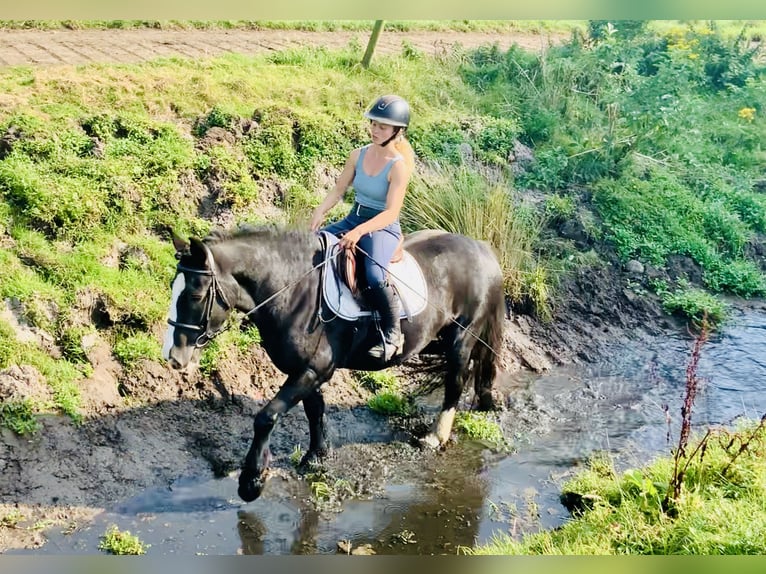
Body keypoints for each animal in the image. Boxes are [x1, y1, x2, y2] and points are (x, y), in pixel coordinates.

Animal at [164, 225, 510, 504]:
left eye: (194, 294)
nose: (175, 357)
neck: (293, 289)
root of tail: (483, 250)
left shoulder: (313, 369)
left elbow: (266, 417)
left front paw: (252, 482)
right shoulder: (306, 370)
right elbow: (314, 411)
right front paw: (316, 457)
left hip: (462, 338)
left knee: (456, 380)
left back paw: (435, 437)